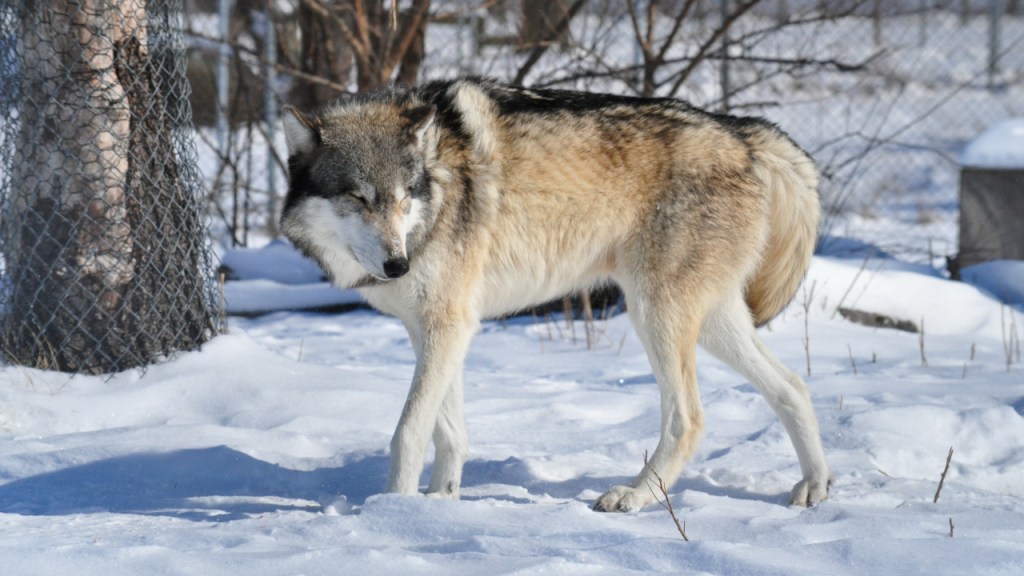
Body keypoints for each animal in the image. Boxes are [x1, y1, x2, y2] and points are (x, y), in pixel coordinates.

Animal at [279, 78, 831, 511]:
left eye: (402, 197)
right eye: (357, 198)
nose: (399, 264)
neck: (436, 196)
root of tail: (741, 132)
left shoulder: (448, 325)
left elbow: (409, 432)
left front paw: (392, 514)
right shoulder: (437, 330)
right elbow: (449, 431)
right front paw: (440, 503)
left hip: (655, 315)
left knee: (688, 419)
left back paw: (634, 496)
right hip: (713, 322)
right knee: (792, 387)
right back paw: (815, 486)